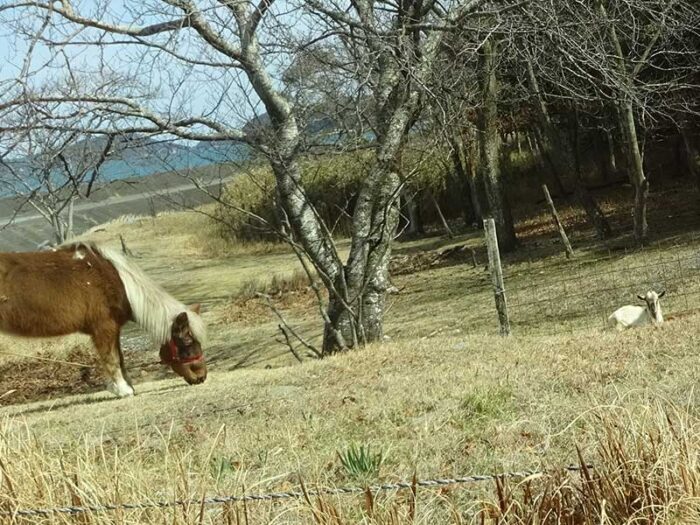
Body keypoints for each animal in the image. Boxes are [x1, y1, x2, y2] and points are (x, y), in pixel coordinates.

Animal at [0, 242, 205, 398]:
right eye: (187, 342)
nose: (202, 377)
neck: (118, 281)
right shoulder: (103, 329)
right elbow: (111, 359)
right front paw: (122, 390)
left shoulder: (114, 330)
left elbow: (120, 358)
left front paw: (128, 387)